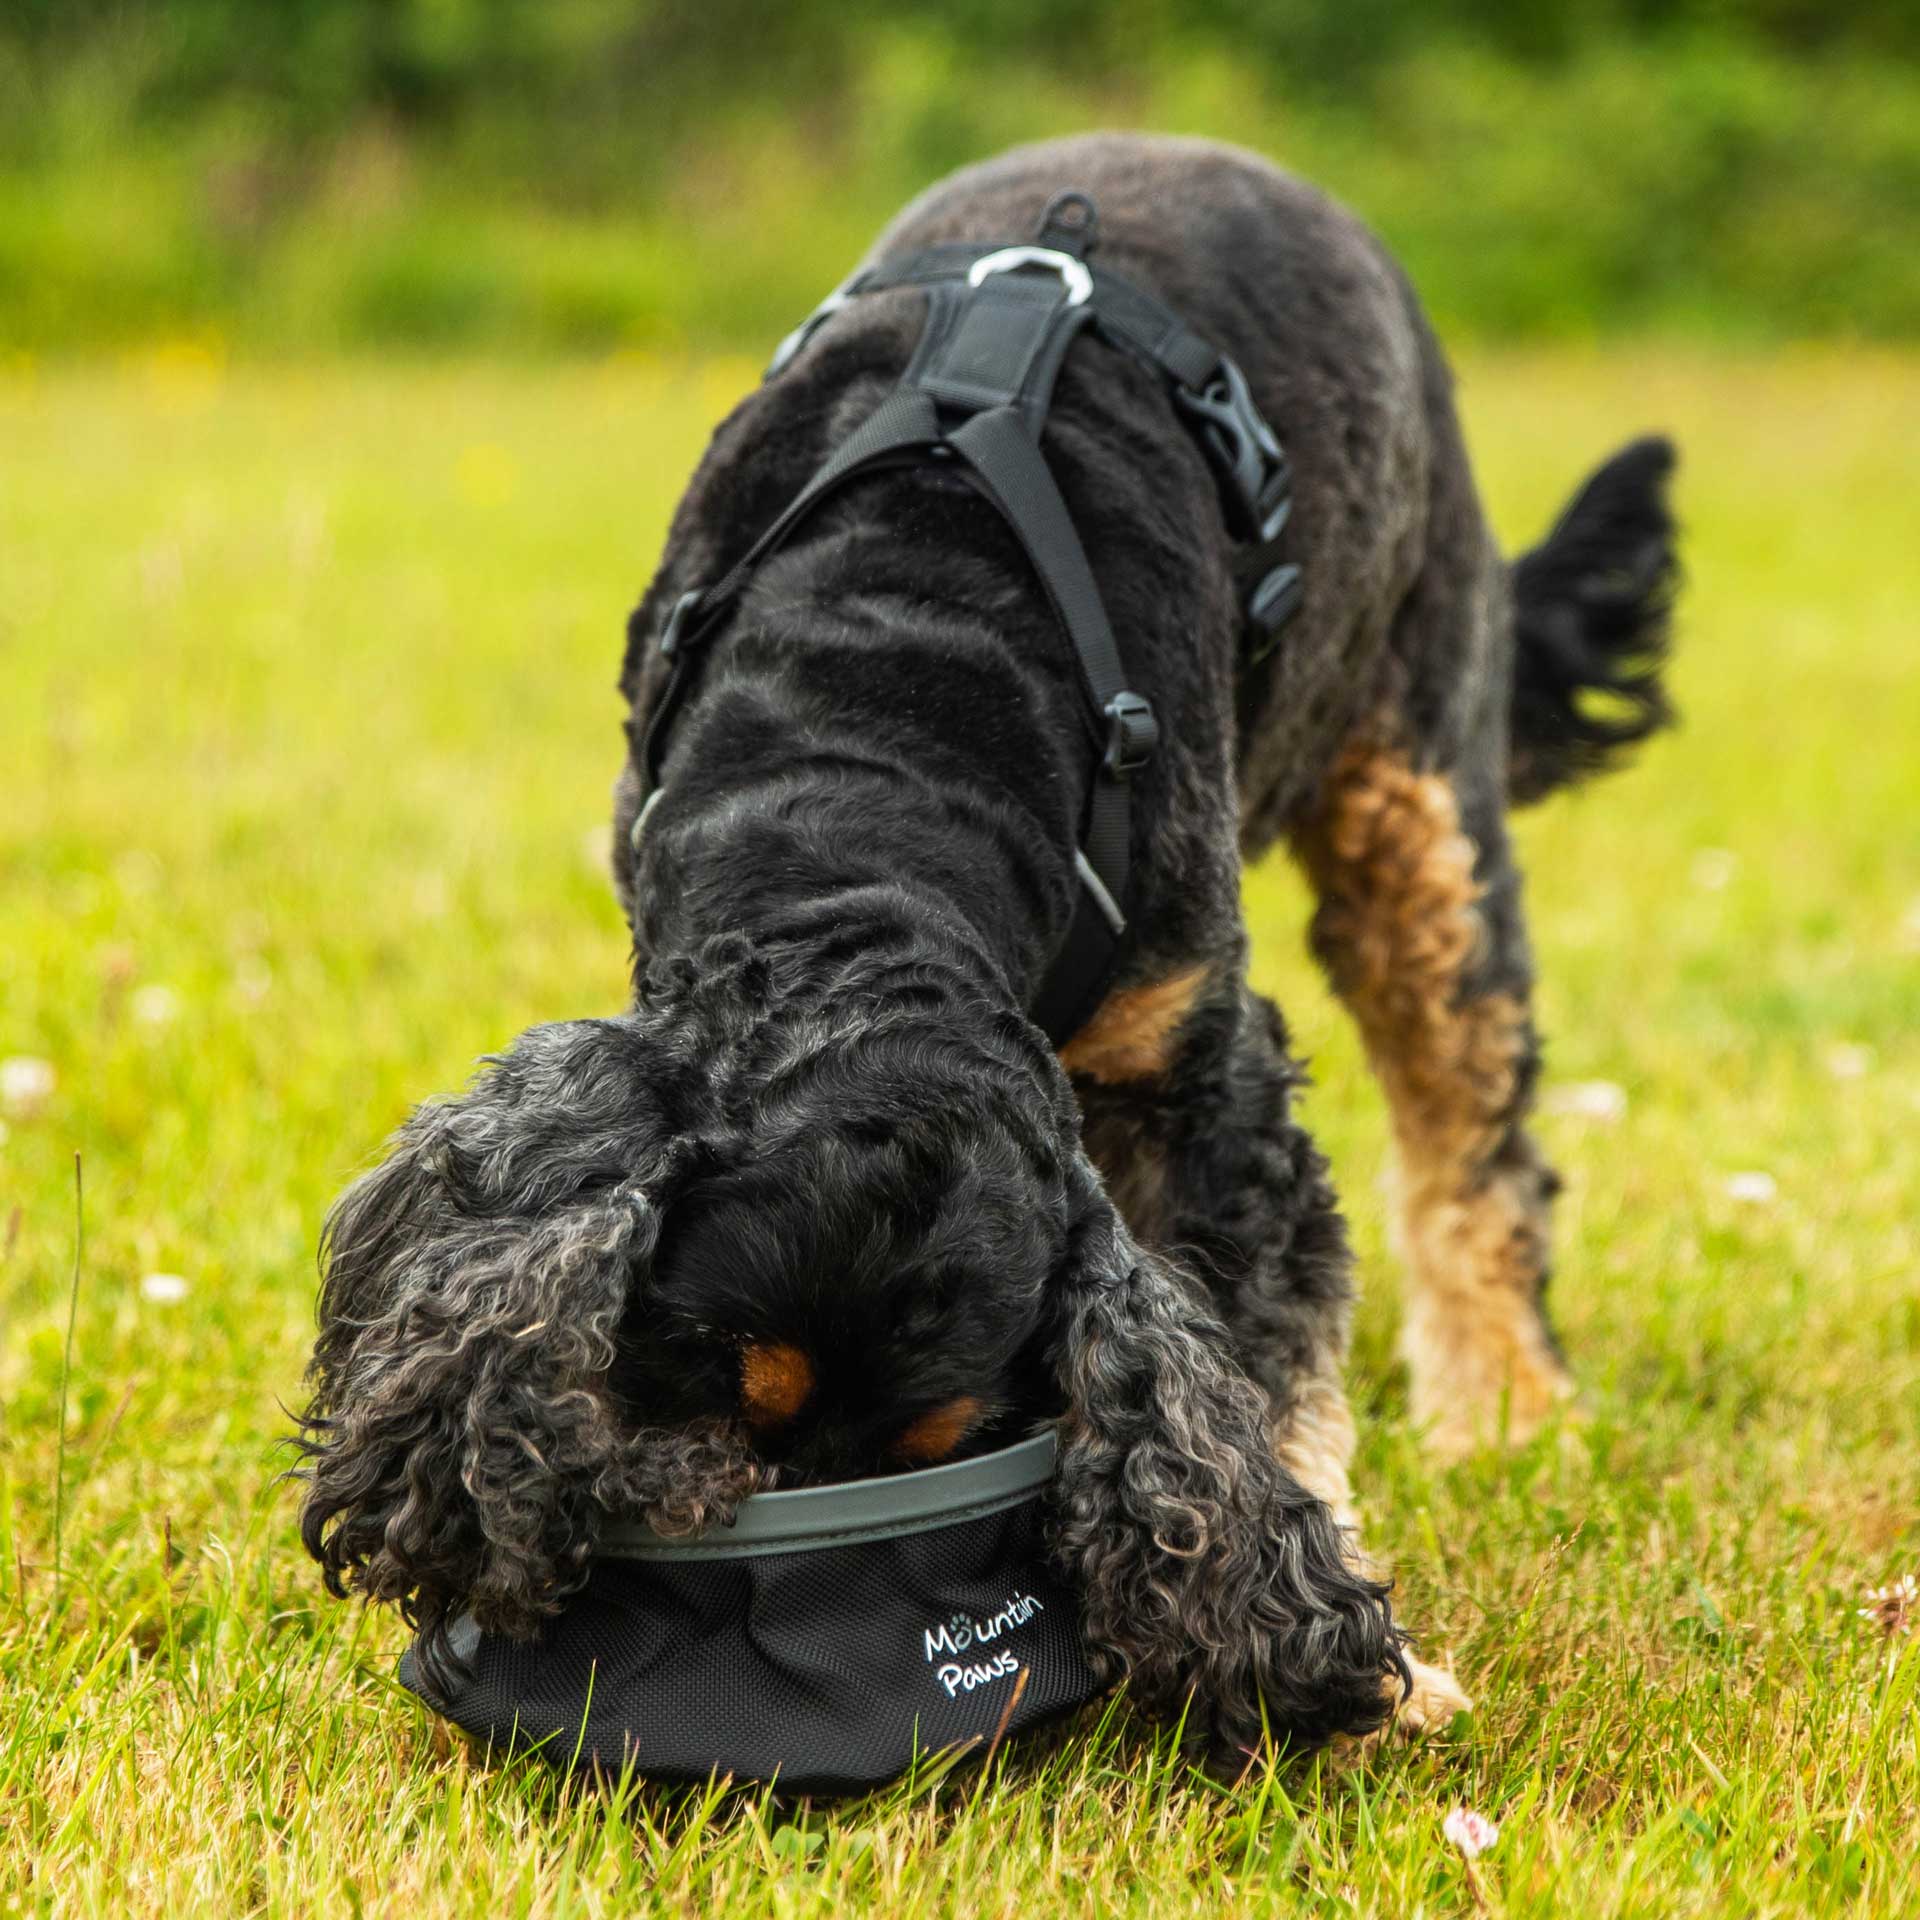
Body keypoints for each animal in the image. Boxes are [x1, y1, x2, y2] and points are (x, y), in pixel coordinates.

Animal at [291, 135, 1674, 1758]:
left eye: (954, 1448)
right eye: (716, 1403)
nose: (808, 1585)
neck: (880, 759)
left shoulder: (1209, 1088)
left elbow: (1265, 1375)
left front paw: (1368, 1675)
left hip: (1422, 781)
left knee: (1472, 1122)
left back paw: (1508, 1407)